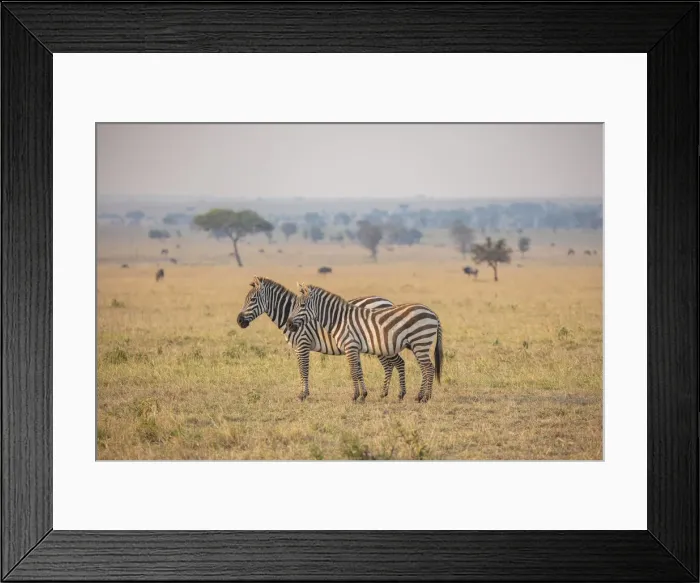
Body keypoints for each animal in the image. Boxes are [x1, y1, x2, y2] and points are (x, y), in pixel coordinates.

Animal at [236, 277, 406, 401]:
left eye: (252, 300)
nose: (239, 321)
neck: (291, 314)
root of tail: (387, 301)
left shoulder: (303, 344)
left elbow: (304, 369)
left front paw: (303, 395)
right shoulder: (297, 348)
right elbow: (300, 370)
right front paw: (303, 392)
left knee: (394, 363)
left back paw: (397, 394)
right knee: (389, 365)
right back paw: (384, 393)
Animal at [287, 283, 443, 403]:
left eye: (302, 305)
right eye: (293, 305)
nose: (289, 324)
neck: (339, 320)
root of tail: (433, 313)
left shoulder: (350, 346)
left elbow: (353, 371)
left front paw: (355, 396)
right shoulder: (355, 348)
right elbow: (358, 371)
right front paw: (362, 396)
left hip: (420, 342)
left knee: (429, 368)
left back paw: (426, 398)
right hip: (418, 345)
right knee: (425, 368)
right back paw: (419, 396)